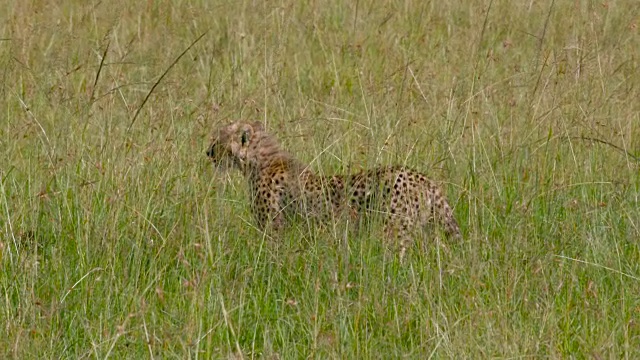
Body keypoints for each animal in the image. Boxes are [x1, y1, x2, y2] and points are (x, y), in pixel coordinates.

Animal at [208, 121, 462, 258]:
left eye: (217, 140)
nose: (208, 152)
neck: (259, 160)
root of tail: (424, 178)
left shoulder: (274, 228)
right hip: (424, 229)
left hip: (394, 230)